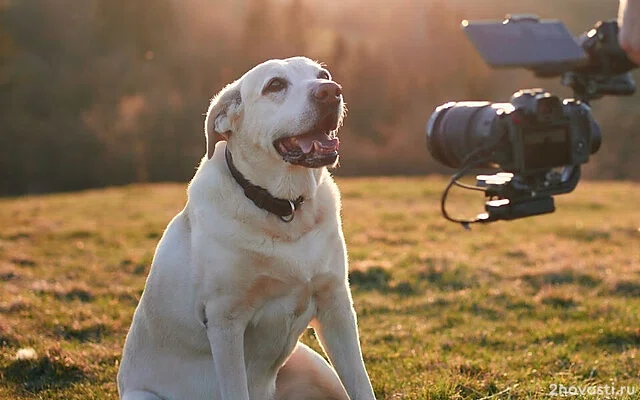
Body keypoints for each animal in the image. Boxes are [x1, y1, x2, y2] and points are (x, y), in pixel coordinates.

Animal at [116, 57, 376, 400]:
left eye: (323, 75)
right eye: (275, 85)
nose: (331, 92)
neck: (283, 209)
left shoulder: (336, 306)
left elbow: (361, 383)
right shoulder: (225, 321)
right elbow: (235, 387)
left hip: (315, 365)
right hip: (140, 394)